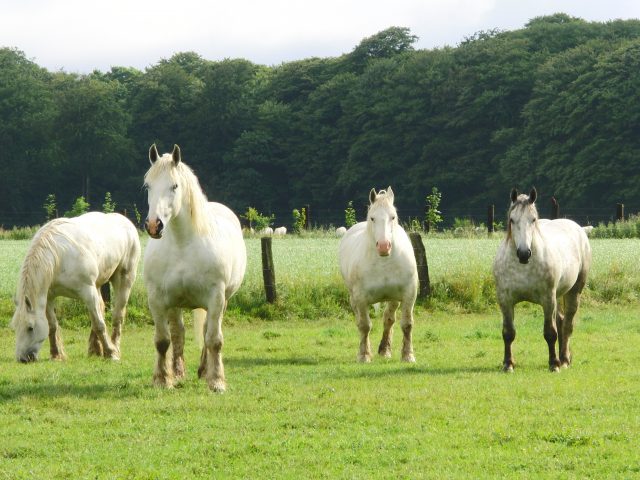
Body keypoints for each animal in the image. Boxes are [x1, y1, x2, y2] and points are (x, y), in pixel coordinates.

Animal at [10, 212, 141, 362]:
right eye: (15, 327)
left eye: (30, 328)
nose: (22, 359)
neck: (58, 257)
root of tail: (126, 222)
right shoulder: (48, 297)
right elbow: (52, 326)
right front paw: (56, 355)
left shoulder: (88, 292)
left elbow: (99, 325)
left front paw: (110, 353)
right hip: (97, 285)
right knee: (101, 309)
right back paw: (95, 349)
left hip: (123, 279)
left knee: (117, 315)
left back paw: (115, 348)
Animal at [144, 144, 246, 392]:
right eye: (148, 185)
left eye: (174, 186)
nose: (153, 225)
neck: (182, 244)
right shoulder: (157, 298)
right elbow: (163, 340)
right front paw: (163, 379)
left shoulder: (216, 297)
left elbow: (214, 339)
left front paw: (216, 381)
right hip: (174, 304)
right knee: (178, 333)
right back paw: (178, 372)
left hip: (222, 301)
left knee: (207, 331)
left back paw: (204, 370)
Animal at [338, 188, 418, 364]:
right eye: (372, 218)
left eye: (393, 216)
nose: (383, 246)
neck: (384, 263)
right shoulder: (360, 298)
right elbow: (364, 325)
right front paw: (364, 355)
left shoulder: (409, 294)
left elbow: (407, 324)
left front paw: (408, 355)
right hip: (353, 299)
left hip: (393, 299)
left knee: (388, 319)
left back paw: (385, 350)